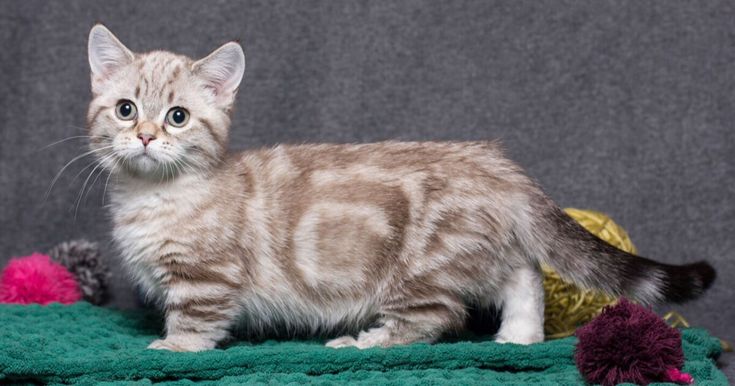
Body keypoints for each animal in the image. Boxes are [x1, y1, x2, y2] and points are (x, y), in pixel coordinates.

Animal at [85, 23, 712, 350]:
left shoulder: (207, 279)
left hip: (421, 269)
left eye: (178, 118)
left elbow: (195, 321)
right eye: (125, 109)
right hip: (479, 246)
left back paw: (367, 340)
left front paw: (171, 347)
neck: (154, 196)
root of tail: (494, 161)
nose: (144, 136)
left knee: (438, 316)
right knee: (522, 273)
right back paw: (520, 336)